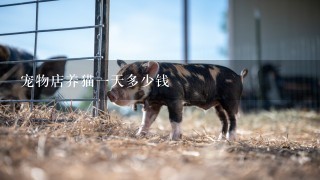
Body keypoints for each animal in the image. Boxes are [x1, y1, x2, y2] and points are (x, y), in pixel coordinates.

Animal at [107, 60, 248, 141]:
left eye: (129, 80)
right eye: (117, 78)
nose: (109, 93)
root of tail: (239, 76)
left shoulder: (176, 98)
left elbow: (175, 119)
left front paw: (173, 139)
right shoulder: (154, 104)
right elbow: (146, 121)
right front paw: (138, 136)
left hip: (230, 99)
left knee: (233, 118)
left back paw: (231, 139)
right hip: (217, 105)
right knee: (224, 120)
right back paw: (220, 139)